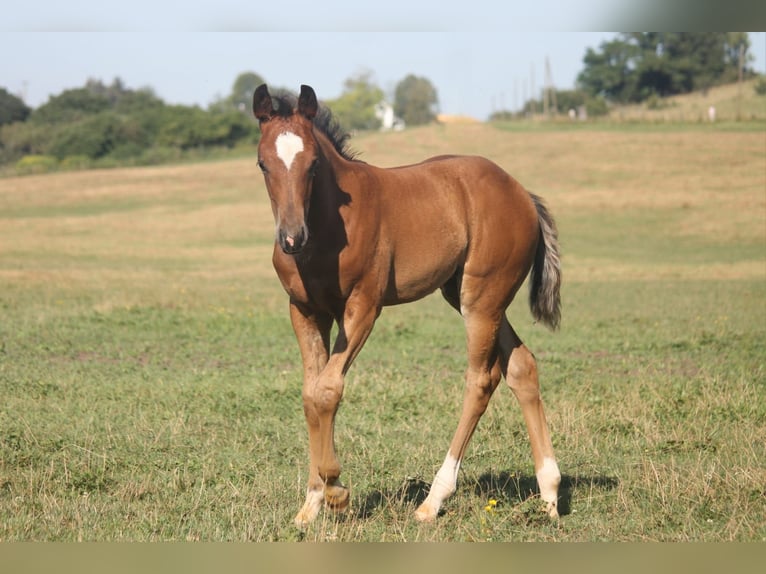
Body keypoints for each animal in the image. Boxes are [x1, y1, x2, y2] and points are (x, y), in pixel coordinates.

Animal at [255, 83, 560, 528]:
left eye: (312, 164)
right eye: (263, 164)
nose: (292, 238)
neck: (327, 226)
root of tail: (523, 195)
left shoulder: (364, 305)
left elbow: (328, 389)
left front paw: (336, 493)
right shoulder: (305, 310)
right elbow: (311, 393)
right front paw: (311, 503)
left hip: (481, 299)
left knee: (481, 380)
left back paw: (434, 500)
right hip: (469, 295)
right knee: (521, 366)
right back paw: (550, 493)